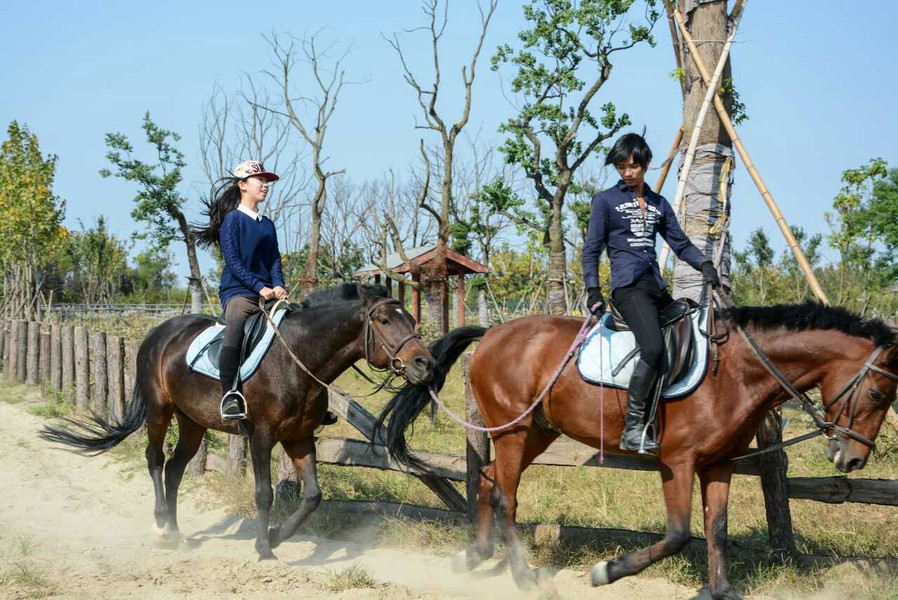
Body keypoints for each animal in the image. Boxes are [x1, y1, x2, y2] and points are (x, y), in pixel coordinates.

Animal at [42, 284, 434, 560]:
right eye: (384, 321)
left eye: (412, 320)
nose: (424, 364)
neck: (298, 357)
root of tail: (158, 333)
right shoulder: (261, 435)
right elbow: (264, 494)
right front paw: (264, 548)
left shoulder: (300, 437)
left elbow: (312, 496)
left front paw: (275, 535)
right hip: (159, 410)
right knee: (154, 459)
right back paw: (163, 527)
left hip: (192, 422)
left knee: (175, 469)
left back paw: (177, 533)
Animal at [378, 302, 896, 596]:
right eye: (876, 393)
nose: (851, 459)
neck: (735, 370)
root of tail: (491, 333)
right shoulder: (678, 462)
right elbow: (679, 534)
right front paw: (607, 571)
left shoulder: (719, 464)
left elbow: (717, 529)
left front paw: (720, 591)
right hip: (514, 431)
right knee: (505, 495)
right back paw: (522, 576)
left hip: (535, 432)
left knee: (488, 482)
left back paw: (475, 556)